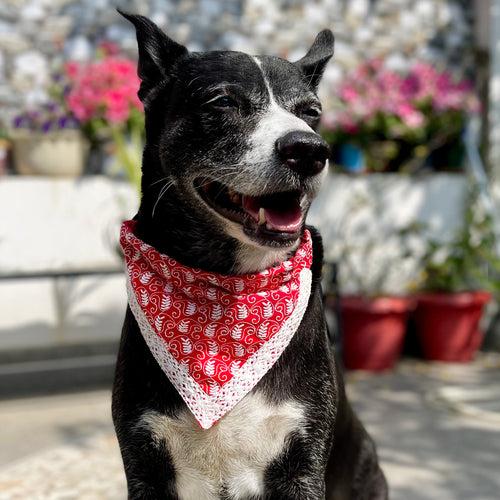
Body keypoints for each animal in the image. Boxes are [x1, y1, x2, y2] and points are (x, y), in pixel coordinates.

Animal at [111, 11, 388, 500]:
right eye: (222, 102)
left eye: (311, 112)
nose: (309, 150)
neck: (230, 288)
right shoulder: (144, 459)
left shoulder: (302, 460)